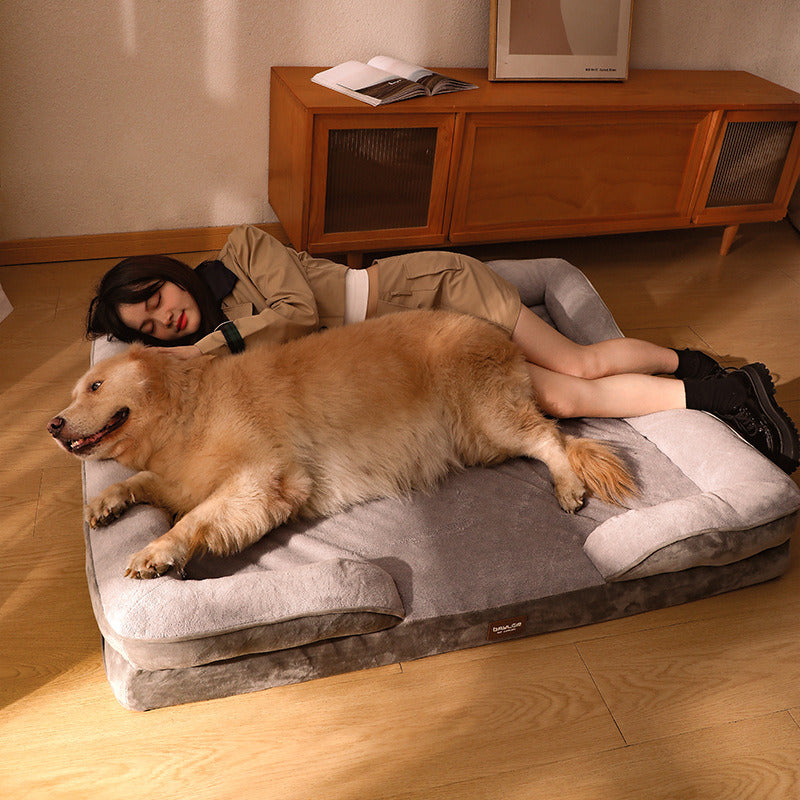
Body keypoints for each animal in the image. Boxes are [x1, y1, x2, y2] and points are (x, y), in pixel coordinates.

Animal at [51, 310, 636, 580]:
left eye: (96, 386)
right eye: (77, 390)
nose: (53, 425)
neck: (186, 412)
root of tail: (503, 338)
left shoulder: (265, 478)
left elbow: (193, 518)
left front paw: (156, 551)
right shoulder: (181, 478)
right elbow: (143, 481)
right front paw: (106, 502)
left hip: (488, 418)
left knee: (551, 437)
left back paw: (567, 487)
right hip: (478, 440)